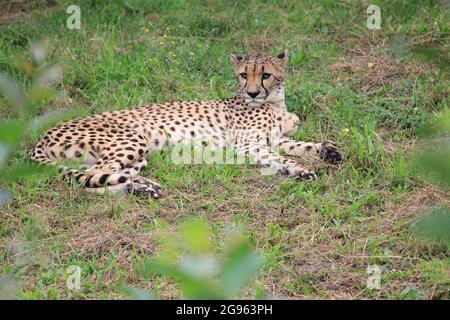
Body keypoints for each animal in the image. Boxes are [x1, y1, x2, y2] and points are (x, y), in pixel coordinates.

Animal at [30, 50, 342, 199]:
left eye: (265, 75)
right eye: (244, 74)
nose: (253, 93)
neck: (273, 102)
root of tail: (42, 136)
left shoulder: (277, 139)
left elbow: (301, 145)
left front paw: (327, 151)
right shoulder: (247, 145)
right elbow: (280, 157)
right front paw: (301, 170)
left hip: (136, 154)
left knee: (108, 174)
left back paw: (143, 187)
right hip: (132, 140)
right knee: (90, 178)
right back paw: (138, 189)